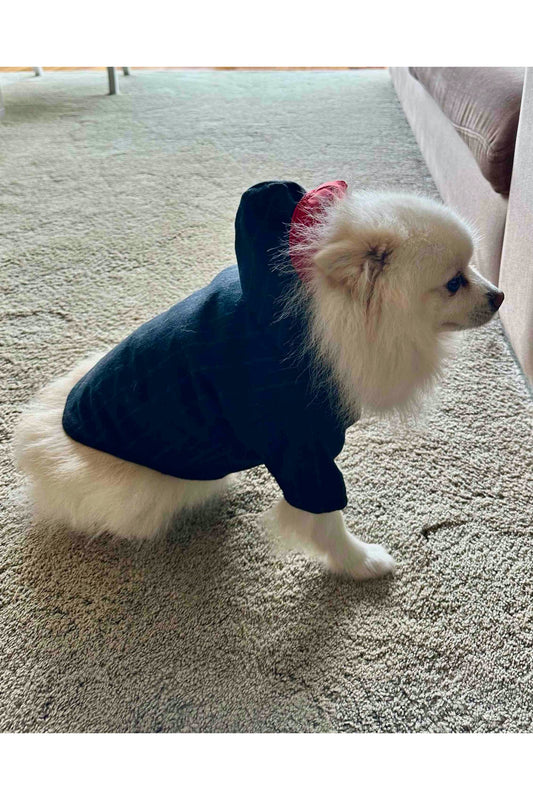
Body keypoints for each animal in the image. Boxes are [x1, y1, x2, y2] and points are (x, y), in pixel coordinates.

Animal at [13, 180, 504, 580]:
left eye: (472, 267)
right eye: (454, 283)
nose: (500, 296)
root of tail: (40, 446)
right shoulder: (303, 448)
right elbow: (326, 517)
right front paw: (360, 563)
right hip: (139, 494)